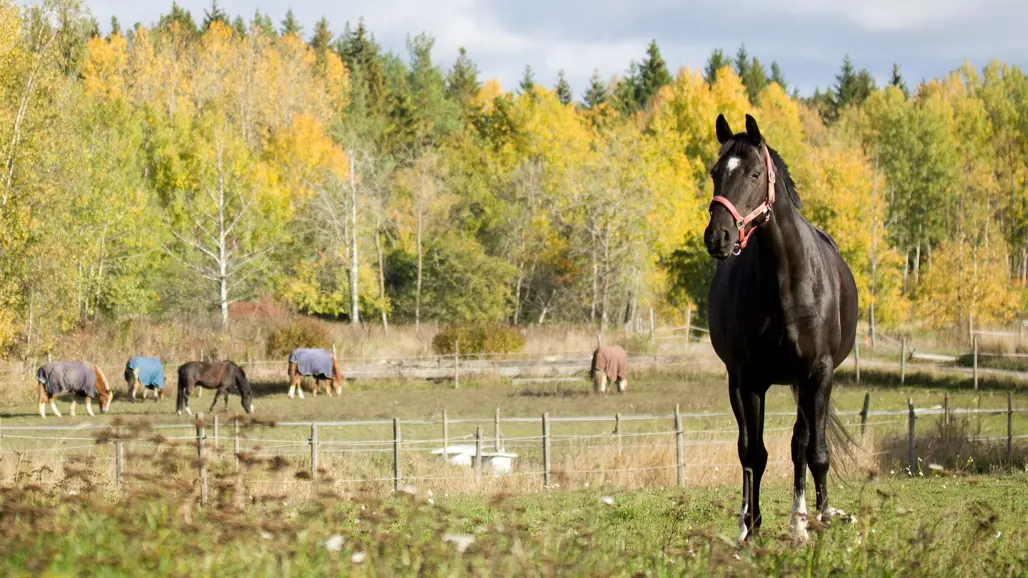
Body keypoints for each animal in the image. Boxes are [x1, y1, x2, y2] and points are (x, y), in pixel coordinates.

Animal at [704, 114, 858, 544]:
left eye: (755, 173)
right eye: (715, 173)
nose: (718, 237)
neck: (788, 281)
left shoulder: (819, 375)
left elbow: (815, 451)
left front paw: (822, 519)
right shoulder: (751, 380)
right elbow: (754, 454)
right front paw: (752, 528)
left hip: (804, 384)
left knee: (800, 443)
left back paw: (801, 521)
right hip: (737, 382)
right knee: (746, 446)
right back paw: (749, 522)